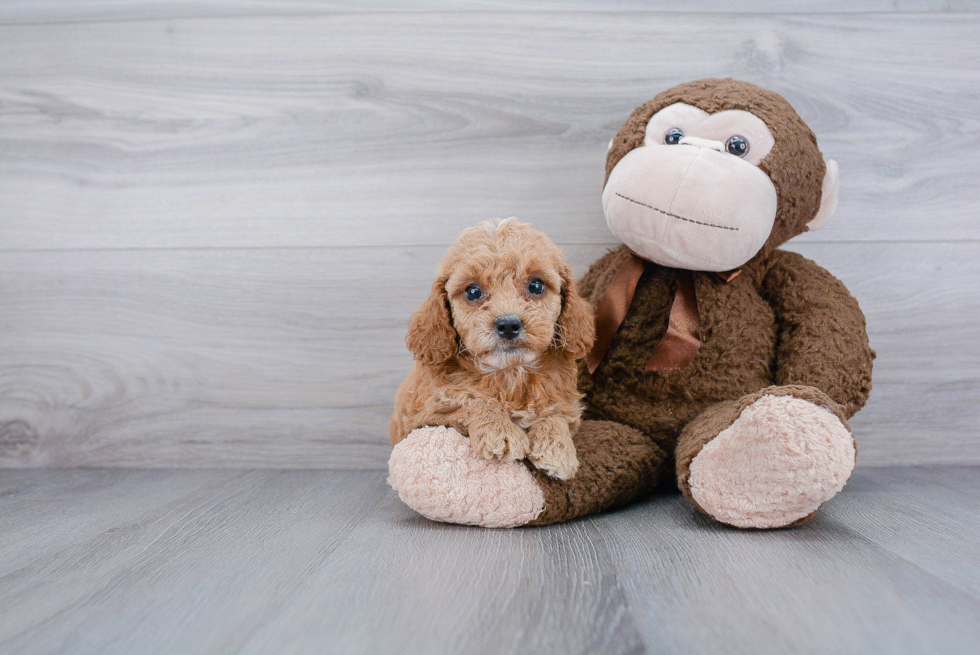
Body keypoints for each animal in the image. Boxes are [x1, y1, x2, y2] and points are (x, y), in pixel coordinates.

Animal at [388, 220, 588, 482]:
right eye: (473, 291)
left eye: (536, 285)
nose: (508, 324)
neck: (509, 374)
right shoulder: (424, 416)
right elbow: (471, 402)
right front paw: (500, 431)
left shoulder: (566, 404)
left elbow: (555, 413)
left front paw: (557, 447)